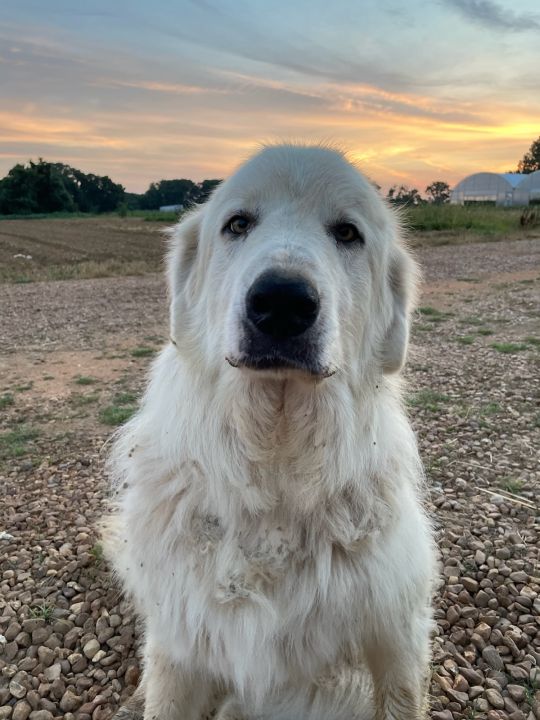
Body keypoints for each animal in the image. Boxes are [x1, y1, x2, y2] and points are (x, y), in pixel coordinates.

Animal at [103, 146, 436, 720]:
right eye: (238, 224)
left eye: (347, 233)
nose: (282, 301)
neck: (277, 467)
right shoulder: (179, 645)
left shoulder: (395, 637)